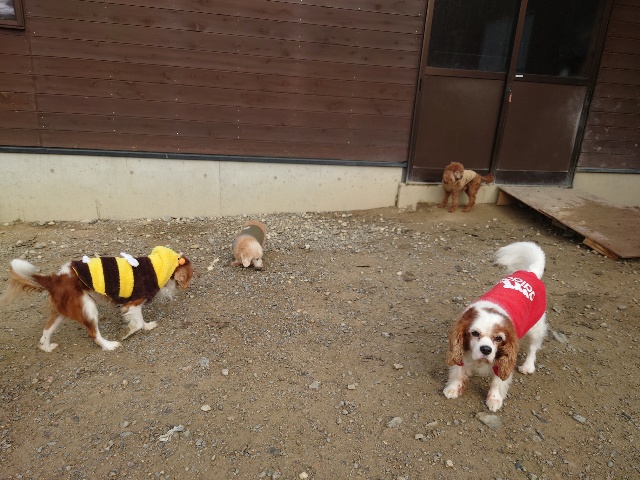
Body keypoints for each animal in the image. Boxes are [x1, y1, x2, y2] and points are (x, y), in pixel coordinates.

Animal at [0, 246, 193, 352]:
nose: (188, 286)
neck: (157, 266)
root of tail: (56, 278)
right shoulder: (133, 304)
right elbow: (137, 322)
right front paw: (127, 332)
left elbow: (141, 321)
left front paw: (147, 326)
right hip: (88, 306)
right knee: (93, 334)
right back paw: (109, 345)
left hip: (64, 309)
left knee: (46, 330)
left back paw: (46, 348)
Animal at [443, 242, 547, 411]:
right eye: (474, 333)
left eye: (498, 338)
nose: (486, 349)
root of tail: (531, 272)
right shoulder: (460, 350)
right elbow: (458, 371)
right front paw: (453, 388)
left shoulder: (504, 359)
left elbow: (497, 382)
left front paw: (494, 400)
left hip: (536, 327)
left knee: (533, 347)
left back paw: (527, 366)